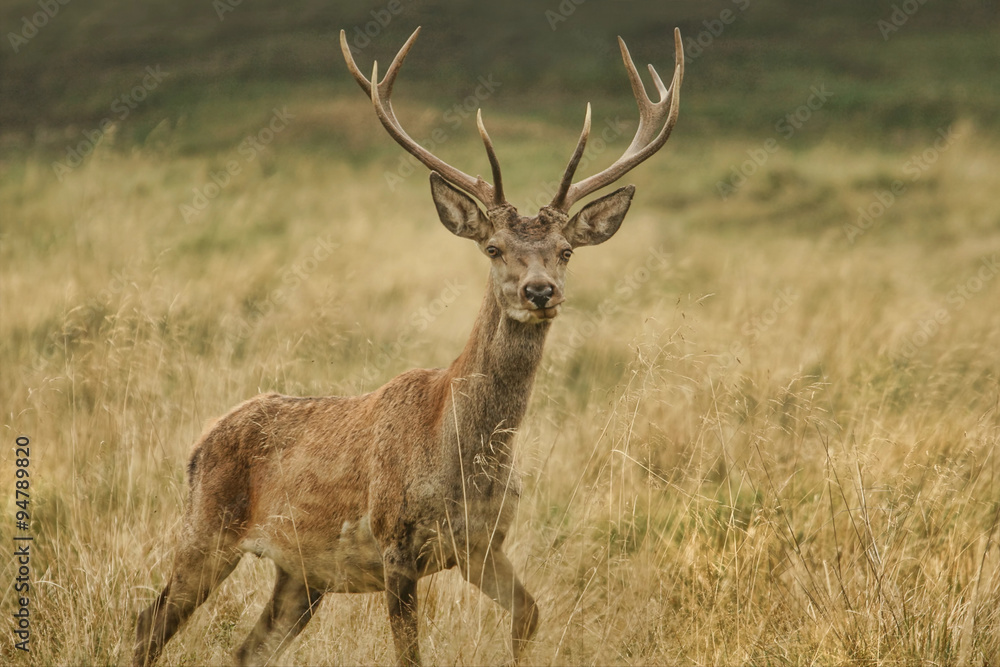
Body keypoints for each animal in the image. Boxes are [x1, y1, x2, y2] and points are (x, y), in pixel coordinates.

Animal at [133, 25, 683, 667]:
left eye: (566, 251)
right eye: (493, 247)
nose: (540, 290)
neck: (460, 459)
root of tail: (202, 440)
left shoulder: (482, 544)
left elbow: (530, 614)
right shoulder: (395, 541)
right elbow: (410, 653)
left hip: (301, 574)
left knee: (247, 649)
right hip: (206, 526)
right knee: (147, 623)